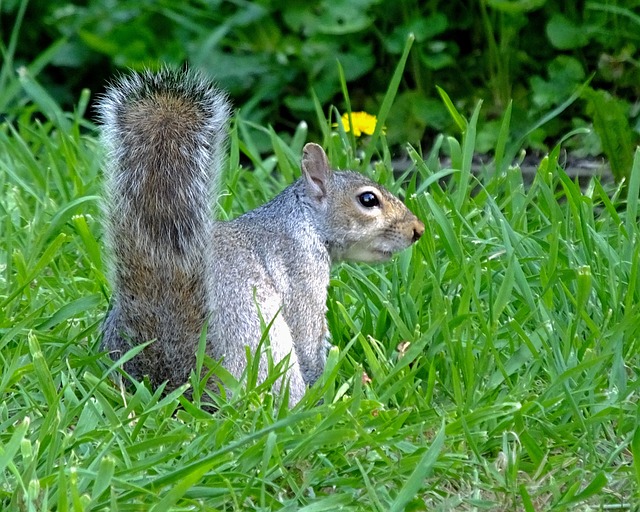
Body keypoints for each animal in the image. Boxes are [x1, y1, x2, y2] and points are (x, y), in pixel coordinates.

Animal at [97, 67, 424, 406]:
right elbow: (308, 338)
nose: (418, 230)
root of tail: (179, 379)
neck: (303, 219)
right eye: (368, 200)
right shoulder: (301, 269)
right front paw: (325, 392)